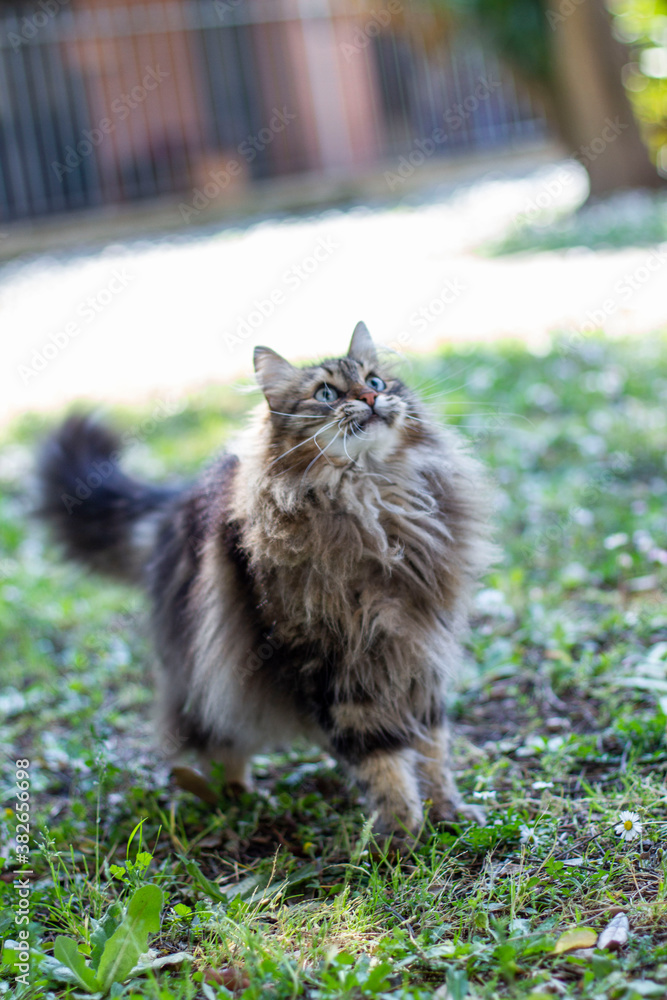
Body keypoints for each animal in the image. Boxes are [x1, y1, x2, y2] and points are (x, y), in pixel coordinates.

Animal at [37, 324, 496, 832]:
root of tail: (181, 497)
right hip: (210, 671)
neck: (375, 501)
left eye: (375, 381)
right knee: (217, 743)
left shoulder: (417, 649)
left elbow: (432, 746)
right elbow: (379, 755)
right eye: (326, 393)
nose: (371, 399)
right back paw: (236, 801)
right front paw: (403, 831)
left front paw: (446, 811)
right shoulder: (332, 661)